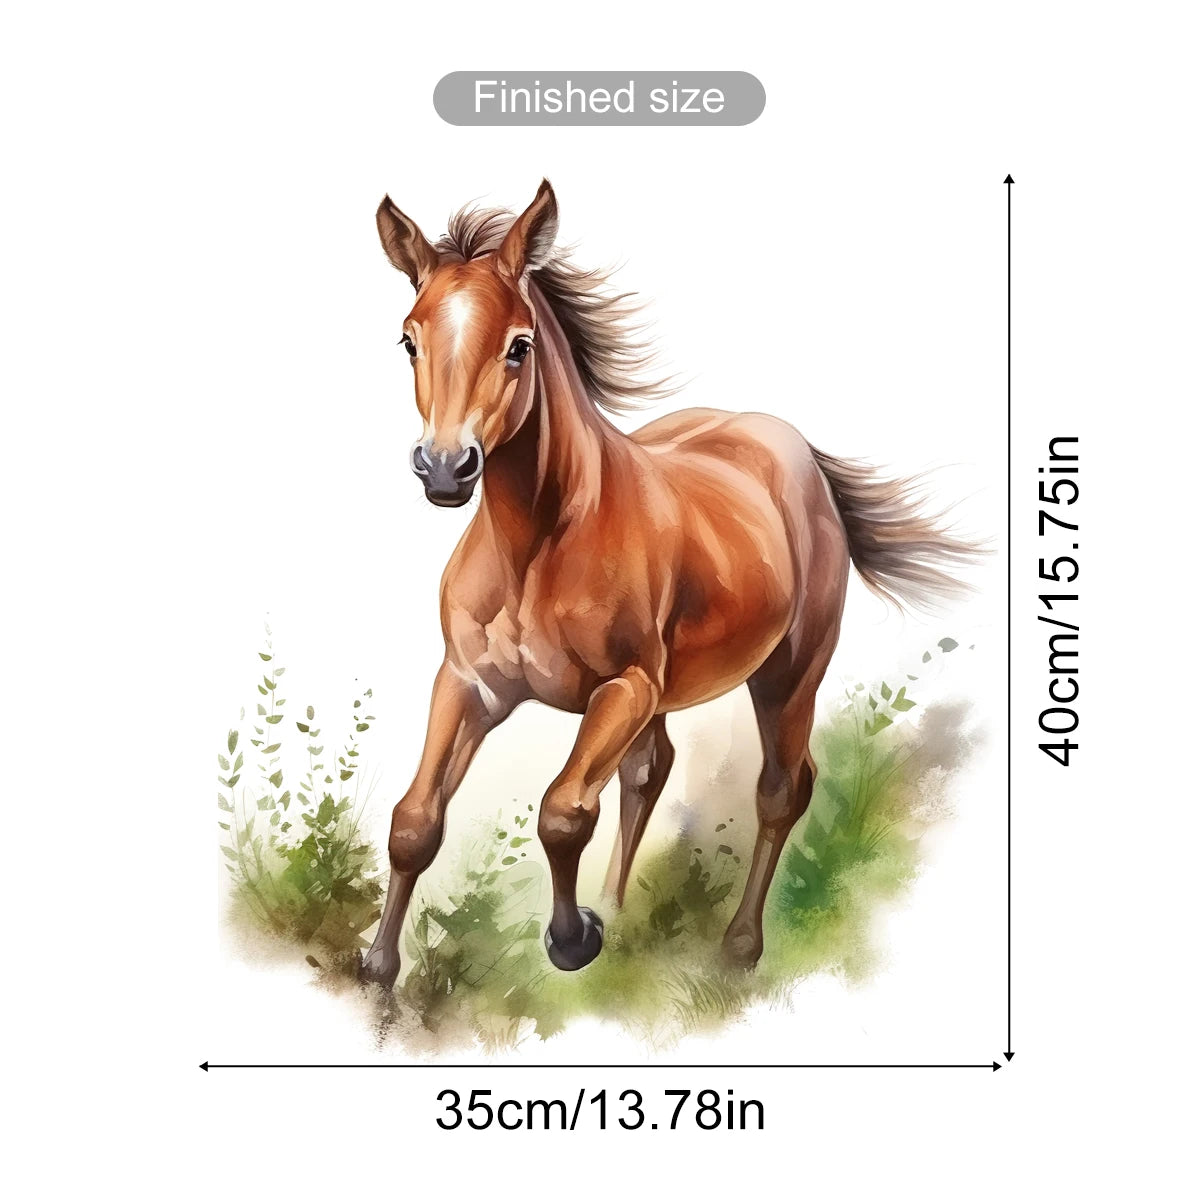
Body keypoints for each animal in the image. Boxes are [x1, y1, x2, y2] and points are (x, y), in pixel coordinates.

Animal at [359, 180, 977, 989]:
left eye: (519, 346)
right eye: (409, 340)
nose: (444, 468)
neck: (539, 546)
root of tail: (793, 448)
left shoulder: (623, 688)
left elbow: (563, 812)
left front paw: (573, 939)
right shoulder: (470, 683)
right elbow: (415, 821)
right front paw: (377, 966)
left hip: (788, 675)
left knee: (782, 789)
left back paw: (738, 948)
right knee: (649, 774)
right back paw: (623, 913)